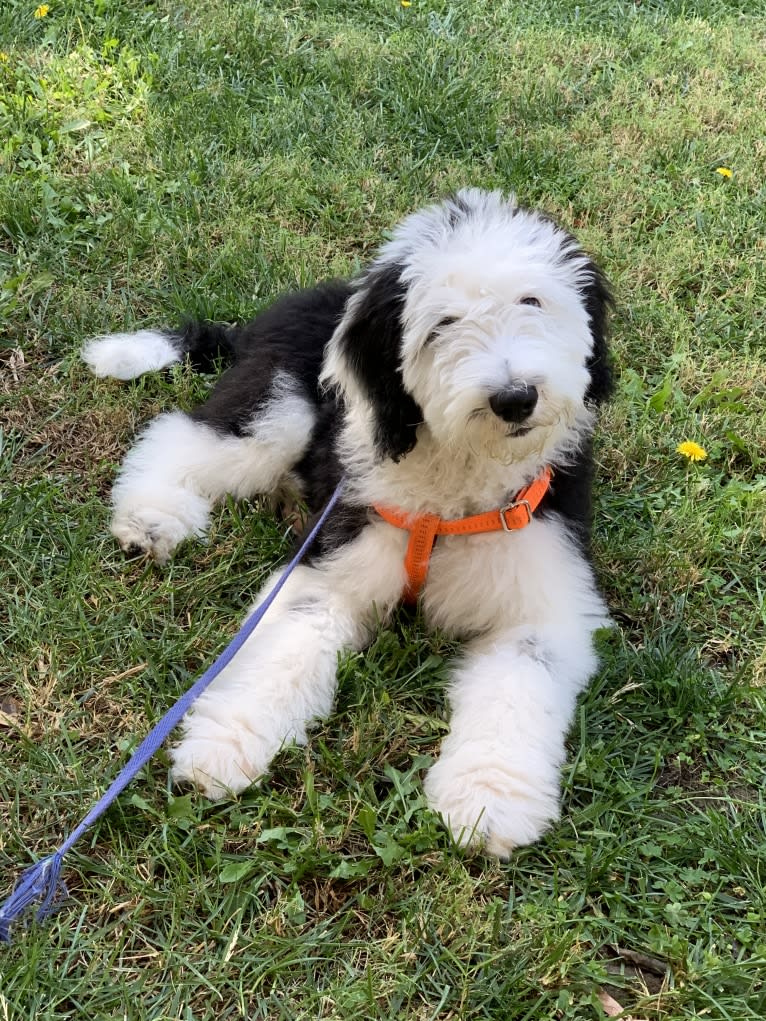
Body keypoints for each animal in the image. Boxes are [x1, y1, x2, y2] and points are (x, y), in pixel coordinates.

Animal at [82, 189, 612, 853]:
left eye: (532, 302)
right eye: (443, 325)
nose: (515, 398)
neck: (453, 490)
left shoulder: (542, 602)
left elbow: (516, 690)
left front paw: (488, 798)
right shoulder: (331, 560)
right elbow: (285, 651)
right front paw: (225, 745)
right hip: (278, 408)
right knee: (185, 436)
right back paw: (151, 517)